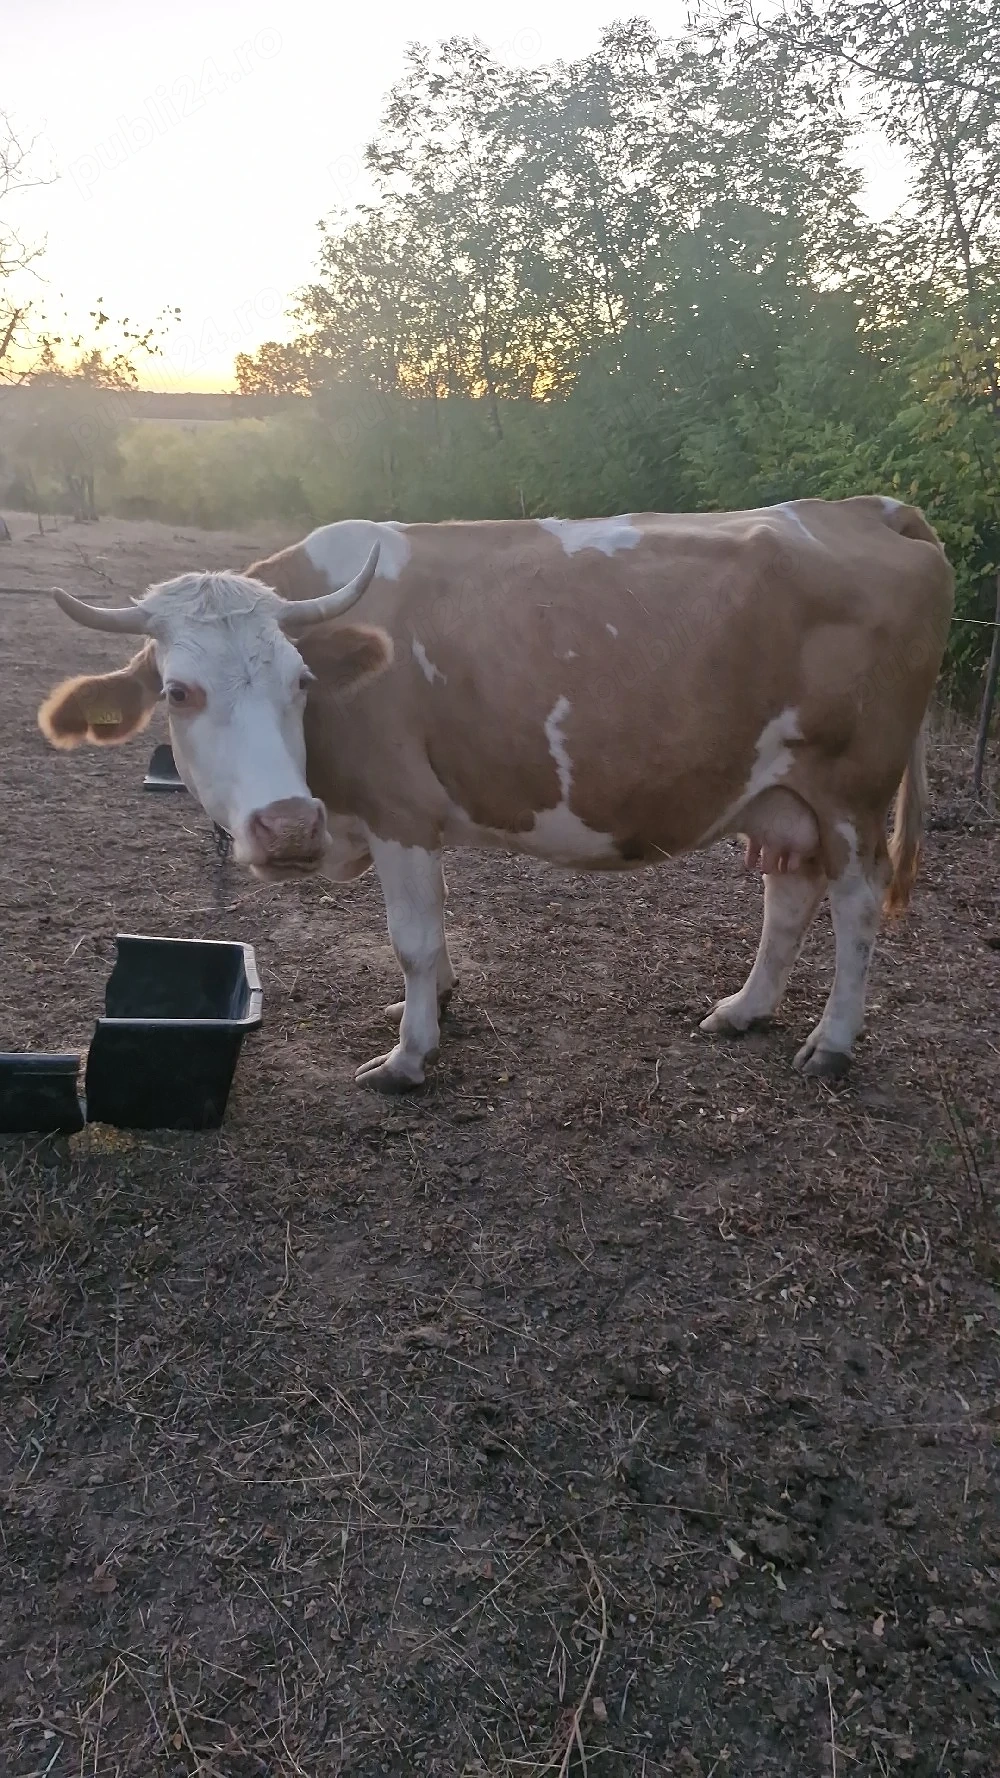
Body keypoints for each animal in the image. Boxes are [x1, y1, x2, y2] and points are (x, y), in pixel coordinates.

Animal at [37, 498, 954, 1093]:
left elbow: (410, 938)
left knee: (856, 908)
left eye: (300, 681)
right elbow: (435, 929)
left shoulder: (399, 808)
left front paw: (410, 1056)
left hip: (852, 790)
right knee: (789, 894)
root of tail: (862, 507)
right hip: (784, 790)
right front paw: (438, 1006)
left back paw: (833, 1043)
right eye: (180, 691)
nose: (290, 825)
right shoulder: (416, 817)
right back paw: (745, 1009)